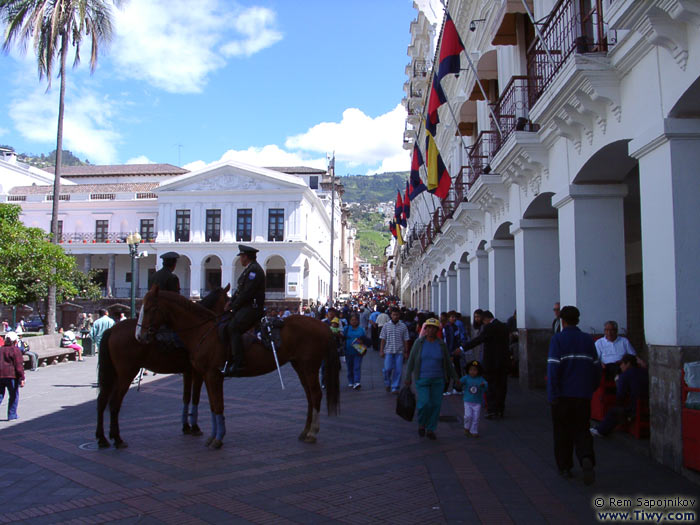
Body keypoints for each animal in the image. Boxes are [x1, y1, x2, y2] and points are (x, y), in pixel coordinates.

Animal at [96, 284, 230, 448]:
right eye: (228, 300)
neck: (197, 329)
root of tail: (111, 329)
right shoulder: (197, 372)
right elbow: (195, 397)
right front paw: (194, 426)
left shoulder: (187, 371)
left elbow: (186, 397)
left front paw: (186, 426)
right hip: (126, 373)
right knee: (114, 402)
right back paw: (117, 438)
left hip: (113, 373)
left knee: (102, 401)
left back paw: (102, 438)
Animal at [135, 284, 340, 448]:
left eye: (151, 308)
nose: (140, 336)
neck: (204, 331)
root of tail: (323, 326)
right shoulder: (206, 375)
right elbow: (212, 405)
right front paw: (212, 436)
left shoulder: (211, 375)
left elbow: (217, 405)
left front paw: (217, 438)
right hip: (300, 365)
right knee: (309, 396)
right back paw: (305, 431)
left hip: (310, 365)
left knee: (315, 394)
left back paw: (312, 432)